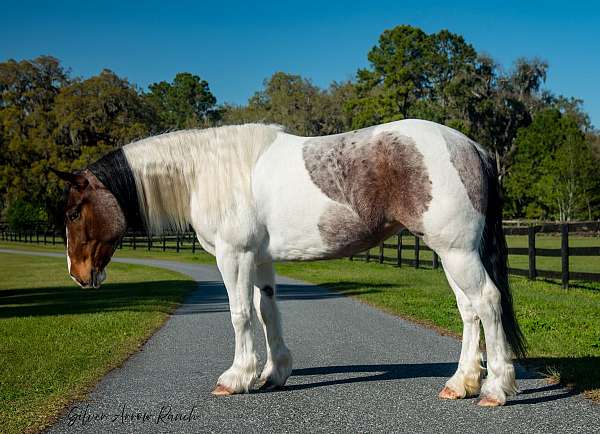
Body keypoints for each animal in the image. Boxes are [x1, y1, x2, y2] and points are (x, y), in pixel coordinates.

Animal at [54, 118, 528, 406]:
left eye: (74, 212)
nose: (78, 275)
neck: (209, 172)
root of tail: (471, 146)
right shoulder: (259, 259)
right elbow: (267, 311)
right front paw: (272, 374)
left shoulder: (234, 256)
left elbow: (240, 314)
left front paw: (236, 378)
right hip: (450, 254)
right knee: (469, 311)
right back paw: (461, 384)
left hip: (457, 252)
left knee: (487, 302)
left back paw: (496, 388)